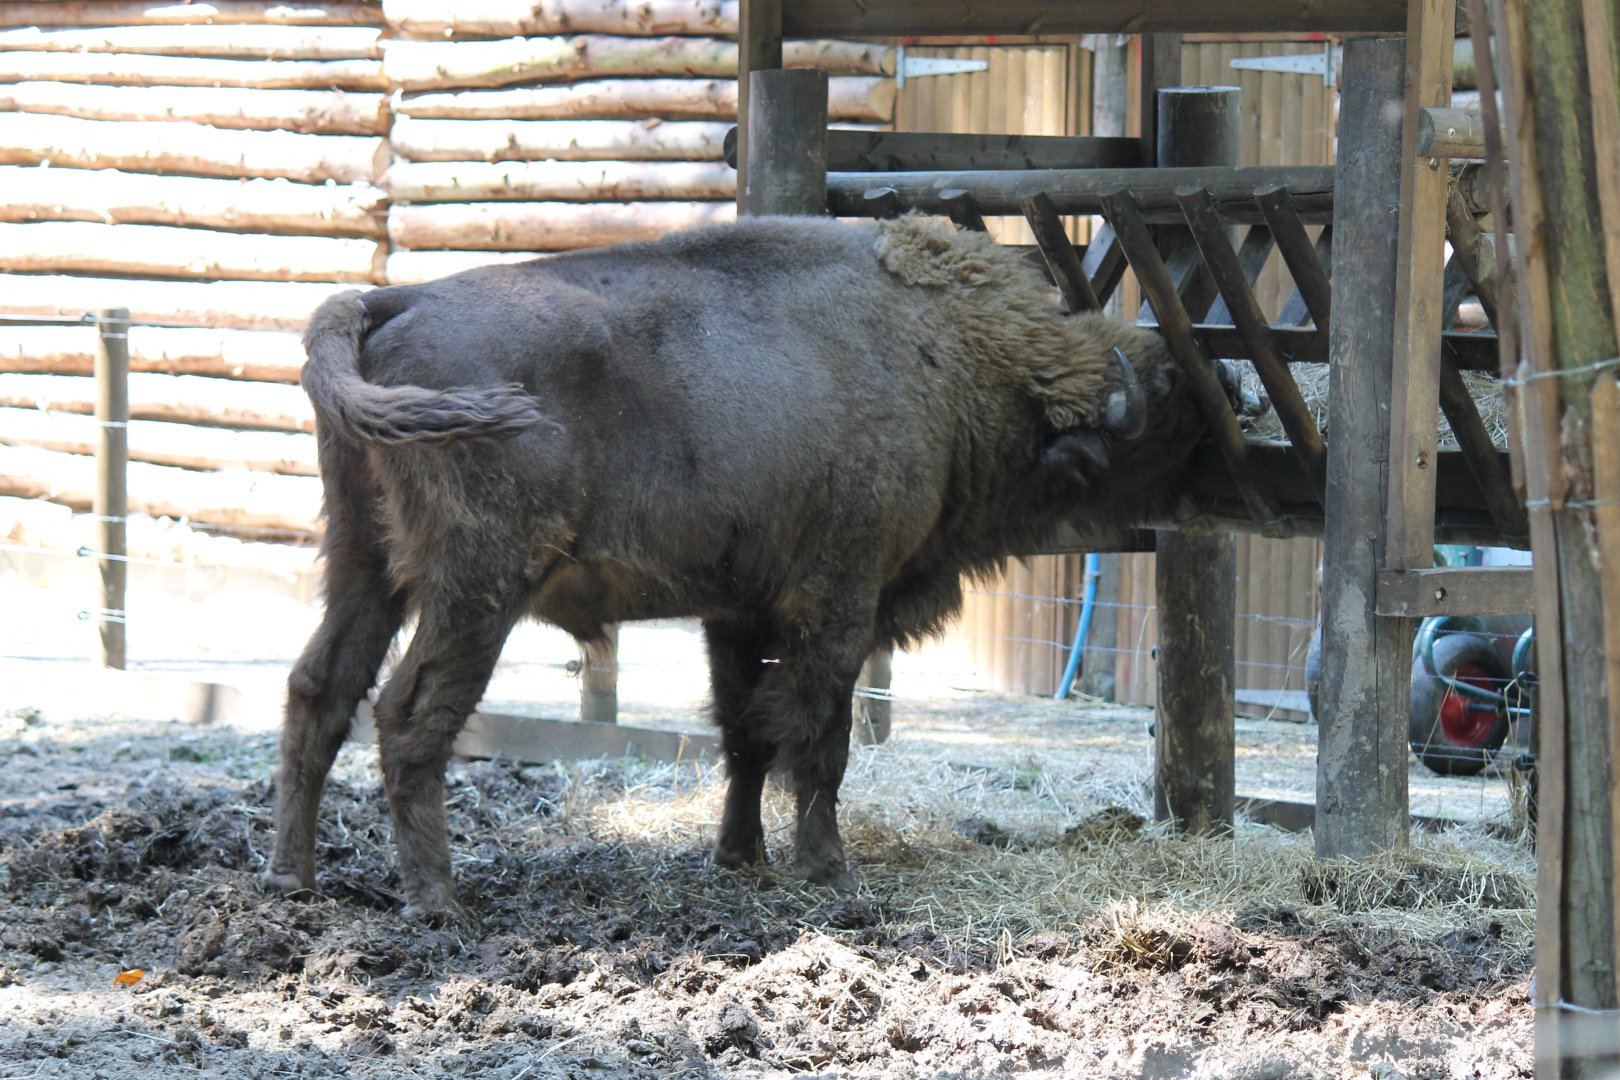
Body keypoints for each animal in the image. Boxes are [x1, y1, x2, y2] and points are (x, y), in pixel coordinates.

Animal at [262, 214, 1213, 916]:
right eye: (1163, 415)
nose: (1220, 398)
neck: (947, 358)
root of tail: (387, 300)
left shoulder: (739, 611)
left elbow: (746, 733)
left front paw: (739, 857)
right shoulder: (838, 600)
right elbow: (820, 739)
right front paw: (830, 872)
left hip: (364, 566)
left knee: (319, 690)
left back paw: (292, 880)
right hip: (477, 589)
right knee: (406, 714)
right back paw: (437, 900)